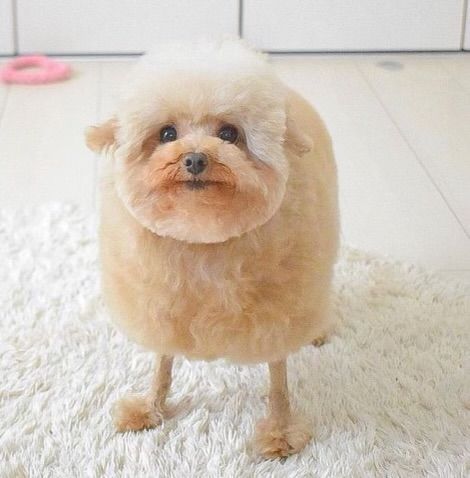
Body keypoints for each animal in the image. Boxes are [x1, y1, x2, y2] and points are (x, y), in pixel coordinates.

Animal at [85, 39, 338, 458]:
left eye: (230, 133)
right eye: (167, 133)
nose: (195, 158)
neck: (203, 240)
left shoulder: (276, 320)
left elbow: (278, 381)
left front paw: (280, 433)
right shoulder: (161, 309)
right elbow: (162, 366)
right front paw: (150, 407)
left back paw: (317, 331)